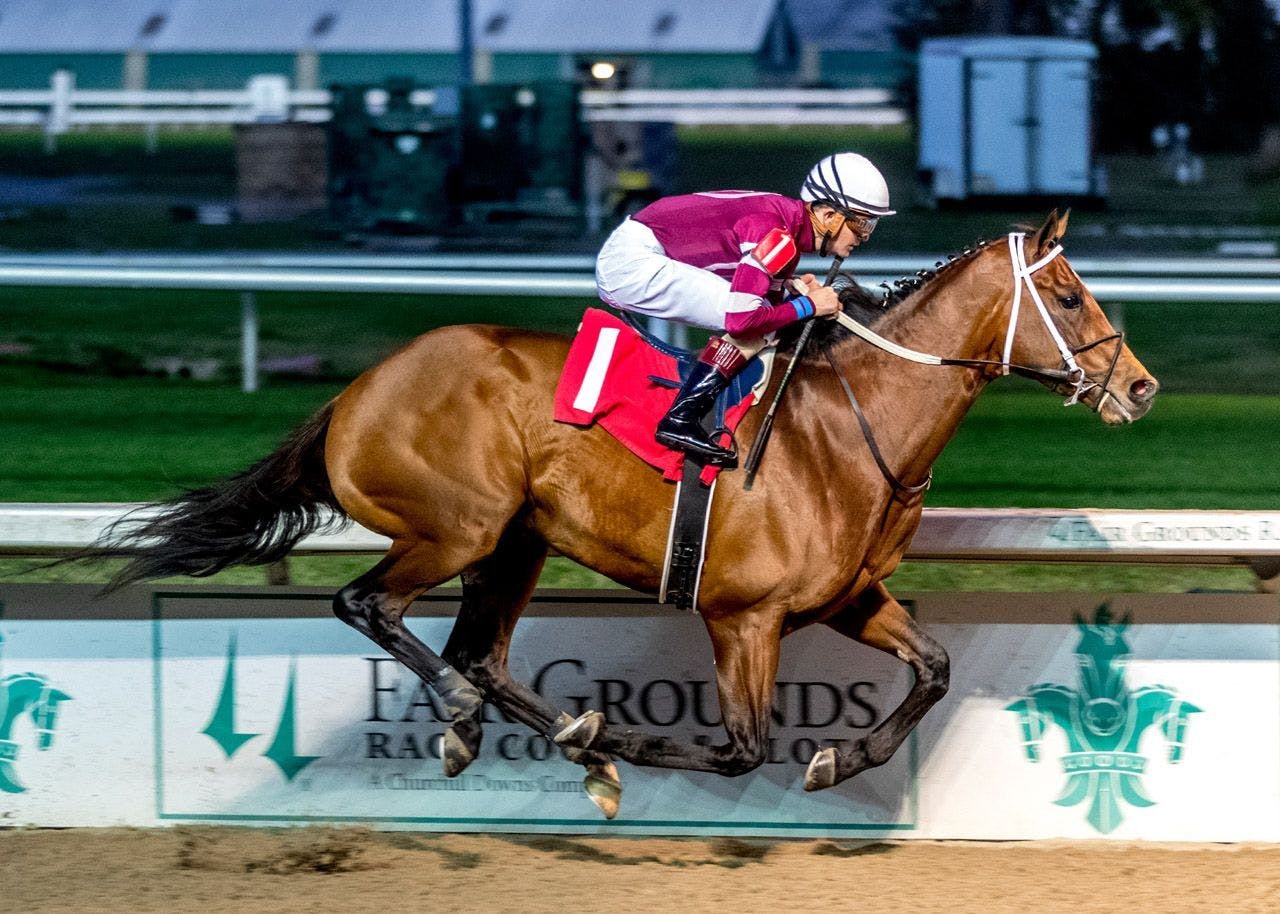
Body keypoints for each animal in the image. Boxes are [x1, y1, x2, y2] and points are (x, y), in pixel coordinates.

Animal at [87, 209, 1162, 814]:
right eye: (1070, 296)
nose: (1141, 388)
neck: (853, 428)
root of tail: (356, 391)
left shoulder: (846, 597)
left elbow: (933, 669)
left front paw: (838, 758)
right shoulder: (744, 616)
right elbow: (739, 748)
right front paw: (637, 747)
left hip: (514, 544)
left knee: (481, 652)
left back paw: (548, 735)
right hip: (459, 527)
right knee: (370, 607)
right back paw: (500, 723)